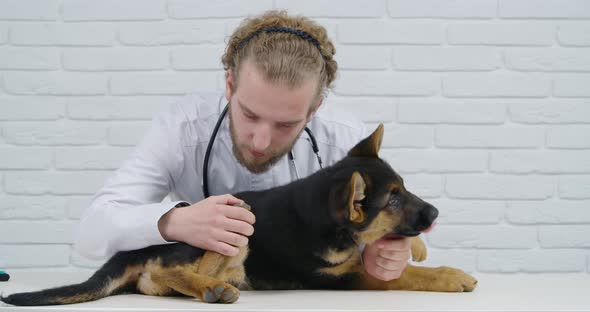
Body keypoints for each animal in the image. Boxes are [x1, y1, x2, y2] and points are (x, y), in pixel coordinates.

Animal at [0, 123, 478, 306]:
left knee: (156, 281)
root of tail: (132, 249)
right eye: (392, 199)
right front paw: (449, 274)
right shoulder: (339, 278)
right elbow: (401, 275)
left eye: (405, 189)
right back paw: (212, 289)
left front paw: (417, 247)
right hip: (236, 222)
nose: (436, 211)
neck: (330, 217)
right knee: (167, 270)